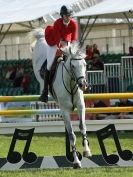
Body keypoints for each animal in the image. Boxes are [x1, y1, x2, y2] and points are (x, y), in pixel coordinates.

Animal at [29, 28, 91, 168]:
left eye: (85, 65)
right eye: (73, 66)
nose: (83, 85)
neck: (72, 83)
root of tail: (41, 38)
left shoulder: (81, 106)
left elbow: (82, 126)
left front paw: (87, 151)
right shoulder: (65, 110)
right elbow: (72, 135)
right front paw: (76, 162)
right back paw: (43, 93)